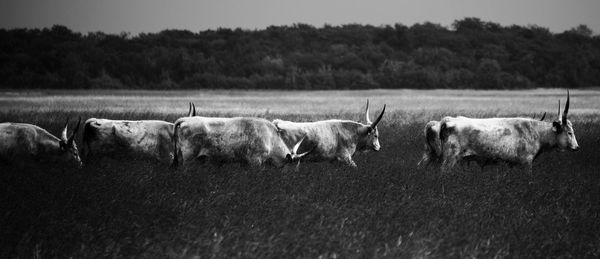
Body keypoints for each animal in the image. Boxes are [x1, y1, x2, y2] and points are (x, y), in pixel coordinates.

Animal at [438, 92, 580, 175]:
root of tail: (449, 120)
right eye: (569, 132)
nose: (577, 147)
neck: (536, 132)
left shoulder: (511, 163)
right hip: (450, 158)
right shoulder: (526, 162)